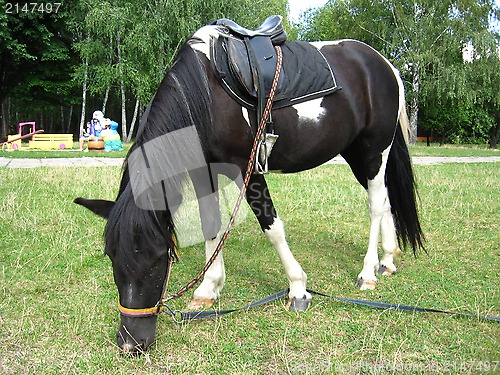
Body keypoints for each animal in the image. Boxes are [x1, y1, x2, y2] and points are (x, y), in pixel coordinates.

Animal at [76, 17, 424, 354]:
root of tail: (384, 64)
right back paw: (387, 260)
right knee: (386, 199)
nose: (129, 344)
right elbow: (210, 225)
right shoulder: (204, 170)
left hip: (374, 149)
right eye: (111, 257)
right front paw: (207, 289)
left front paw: (298, 288)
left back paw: (368, 273)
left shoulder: (249, 168)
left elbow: (272, 227)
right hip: (356, 153)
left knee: (376, 204)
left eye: (158, 258)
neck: (205, 93)